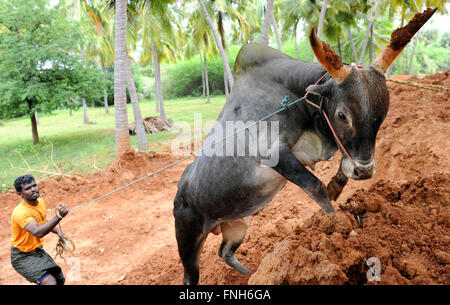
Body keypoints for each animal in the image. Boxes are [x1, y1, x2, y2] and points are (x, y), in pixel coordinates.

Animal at [171, 8, 436, 284]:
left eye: (382, 115)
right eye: (342, 115)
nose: (365, 172)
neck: (293, 96)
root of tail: (180, 193)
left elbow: (340, 172)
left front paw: (337, 187)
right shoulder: (276, 156)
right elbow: (315, 187)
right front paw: (340, 226)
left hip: (237, 226)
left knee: (225, 253)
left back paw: (253, 274)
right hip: (188, 239)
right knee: (191, 274)